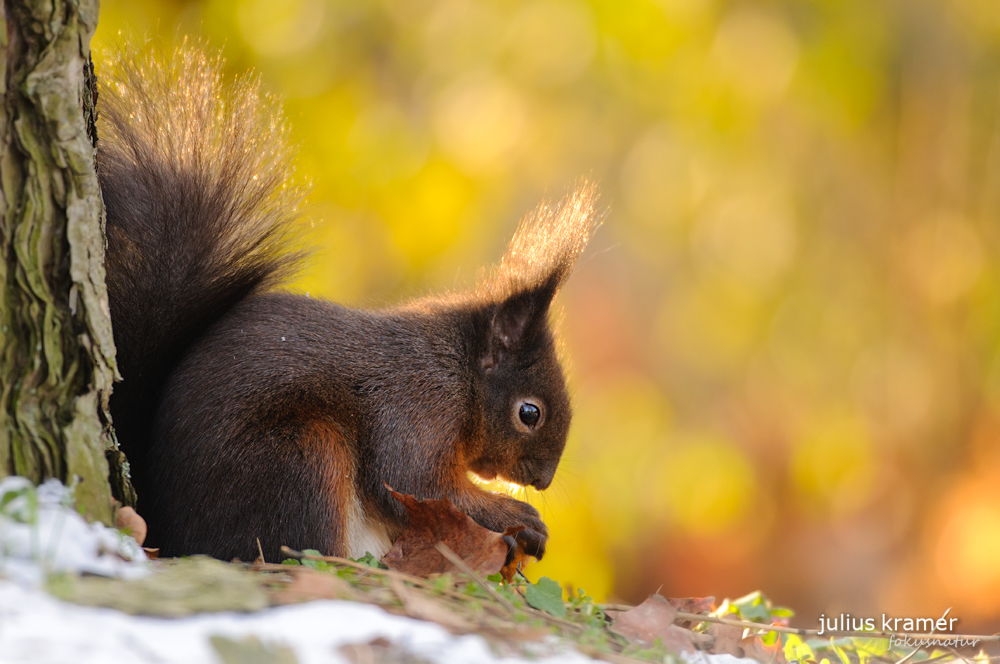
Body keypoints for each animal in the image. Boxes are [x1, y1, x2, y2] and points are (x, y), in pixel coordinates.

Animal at [97, 44, 596, 564]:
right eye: (529, 413)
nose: (543, 480)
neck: (459, 368)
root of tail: (166, 525)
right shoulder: (418, 402)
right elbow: (417, 482)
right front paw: (521, 519)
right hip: (303, 455)